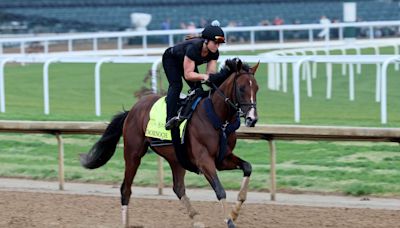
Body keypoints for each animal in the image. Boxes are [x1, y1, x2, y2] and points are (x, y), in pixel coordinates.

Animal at [81, 59, 260, 228]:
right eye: (242, 88)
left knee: (178, 188)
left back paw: (196, 219)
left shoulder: (222, 158)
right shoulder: (204, 160)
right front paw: (229, 220)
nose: (252, 119)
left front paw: (235, 212)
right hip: (133, 154)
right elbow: (220, 190)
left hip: (176, 158)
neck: (217, 117)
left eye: (257, 88)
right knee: (126, 189)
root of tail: (132, 110)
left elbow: (248, 167)